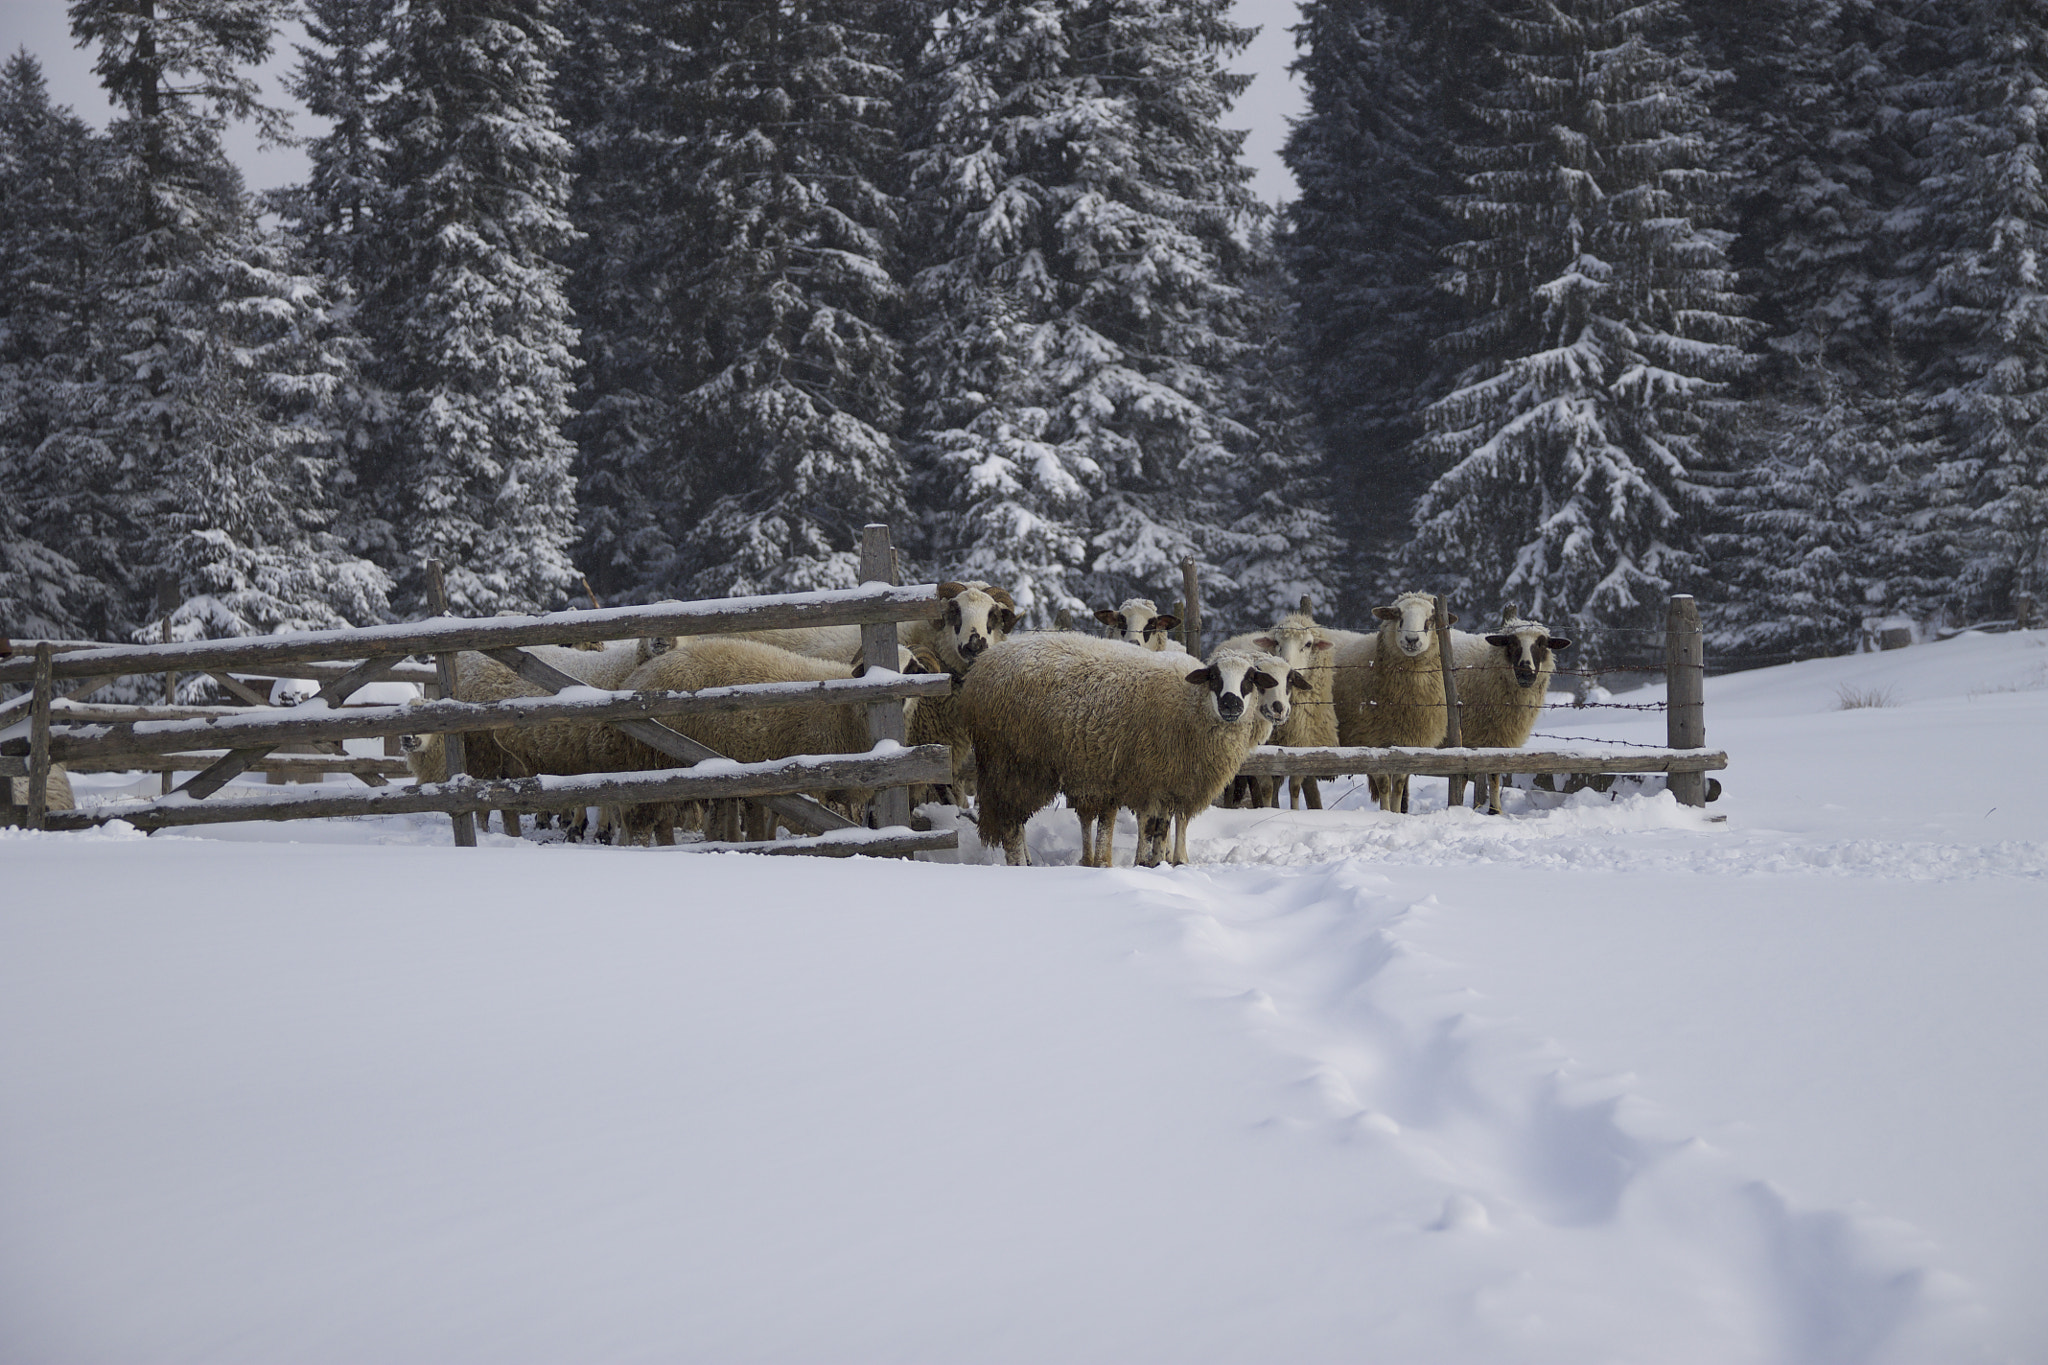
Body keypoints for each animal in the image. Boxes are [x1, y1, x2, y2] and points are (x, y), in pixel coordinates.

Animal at [959, 634, 1289, 868]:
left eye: (1250, 680)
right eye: (1215, 677)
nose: (1232, 703)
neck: (1189, 705)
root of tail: (983, 665)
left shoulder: (1167, 780)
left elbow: (1162, 826)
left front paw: (1158, 862)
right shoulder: (1149, 778)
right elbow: (1152, 825)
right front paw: (1147, 863)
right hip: (1013, 762)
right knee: (1011, 823)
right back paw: (1019, 864)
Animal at [1330, 591, 1456, 814]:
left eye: (1429, 620)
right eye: (1399, 617)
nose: (1412, 639)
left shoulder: (1409, 743)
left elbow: (1398, 785)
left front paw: (1397, 813)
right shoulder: (1372, 740)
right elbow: (1383, 785)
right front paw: (1386, 813)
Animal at [1448, 613, 1573, 815]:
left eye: (1542, 644)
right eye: (1512, 643)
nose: (1525, 672)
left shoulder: (1495, 737)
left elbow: (1492, 772)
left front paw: (1493, 810)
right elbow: (1475, 774)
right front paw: (1492, 810)